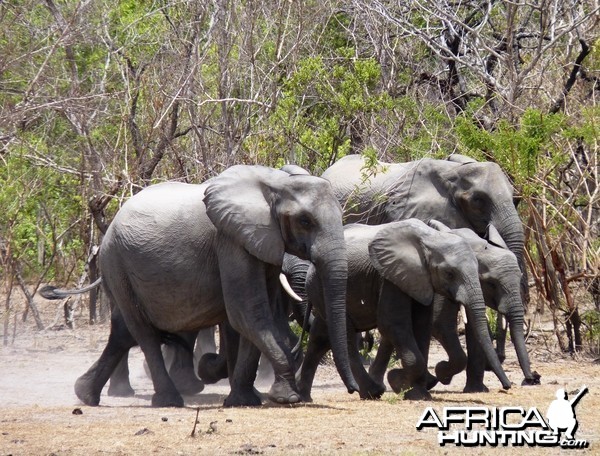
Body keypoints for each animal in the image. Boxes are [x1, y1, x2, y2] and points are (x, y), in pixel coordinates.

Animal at [44, 166, 360, 408]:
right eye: (305, 221)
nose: (353, 390)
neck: (274, 182)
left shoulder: (260, 244)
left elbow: (257, 316)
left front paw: (244, 400)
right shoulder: (230, 240)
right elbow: (248, 313)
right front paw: (286, 398)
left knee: (124, 331)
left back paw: (86, 395)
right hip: (116, 262)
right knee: (142, 331)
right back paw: (169, 400)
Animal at [296, 217, 510, 400]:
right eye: (449, 274)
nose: (507, 387)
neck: (431, 239)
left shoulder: (421, 279)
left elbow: (422, 325)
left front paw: (419, 391)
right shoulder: (390, 276)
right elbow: (392, 323)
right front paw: (399, 382)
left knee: (321, 336)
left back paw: (303, 395)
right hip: (322, 285)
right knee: (345, 334)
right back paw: (372, 391)